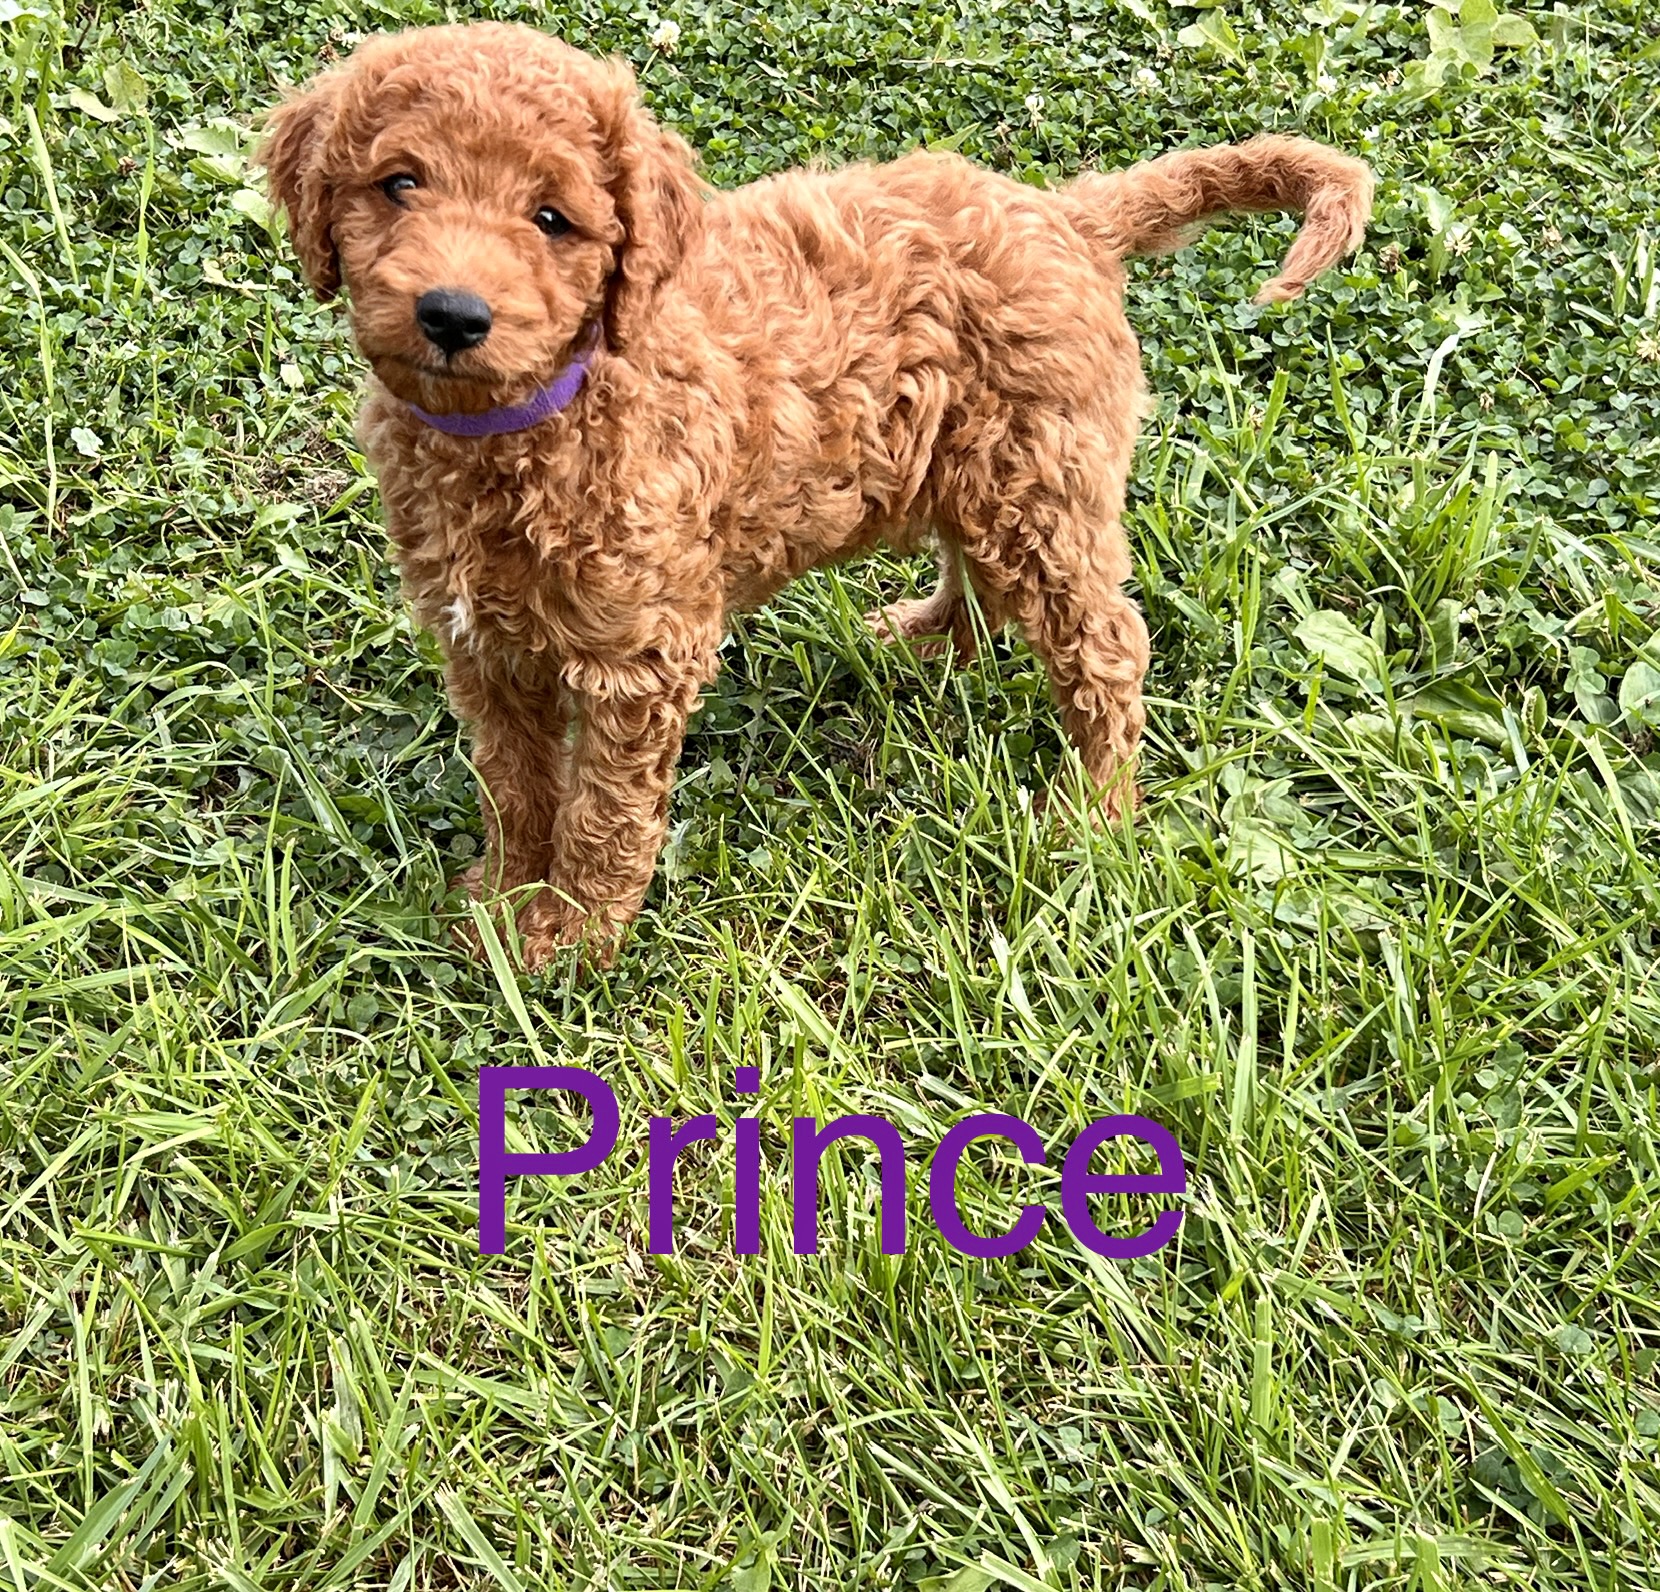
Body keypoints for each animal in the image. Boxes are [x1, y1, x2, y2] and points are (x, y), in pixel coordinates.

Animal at [261, 22, 1371, 970]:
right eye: (399, 183)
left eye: (551, 219)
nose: (452, 313)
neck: (532, 417)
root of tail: (1063, 214)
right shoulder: (483, 647)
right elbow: (516, 782)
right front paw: (502, 895)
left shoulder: (641, 653)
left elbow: (602, 811)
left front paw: (570, 935)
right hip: (985, 464)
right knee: (982, 573)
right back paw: (924, 637)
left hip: (1046, 476)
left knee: (1107, 642)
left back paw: (1093, 810)